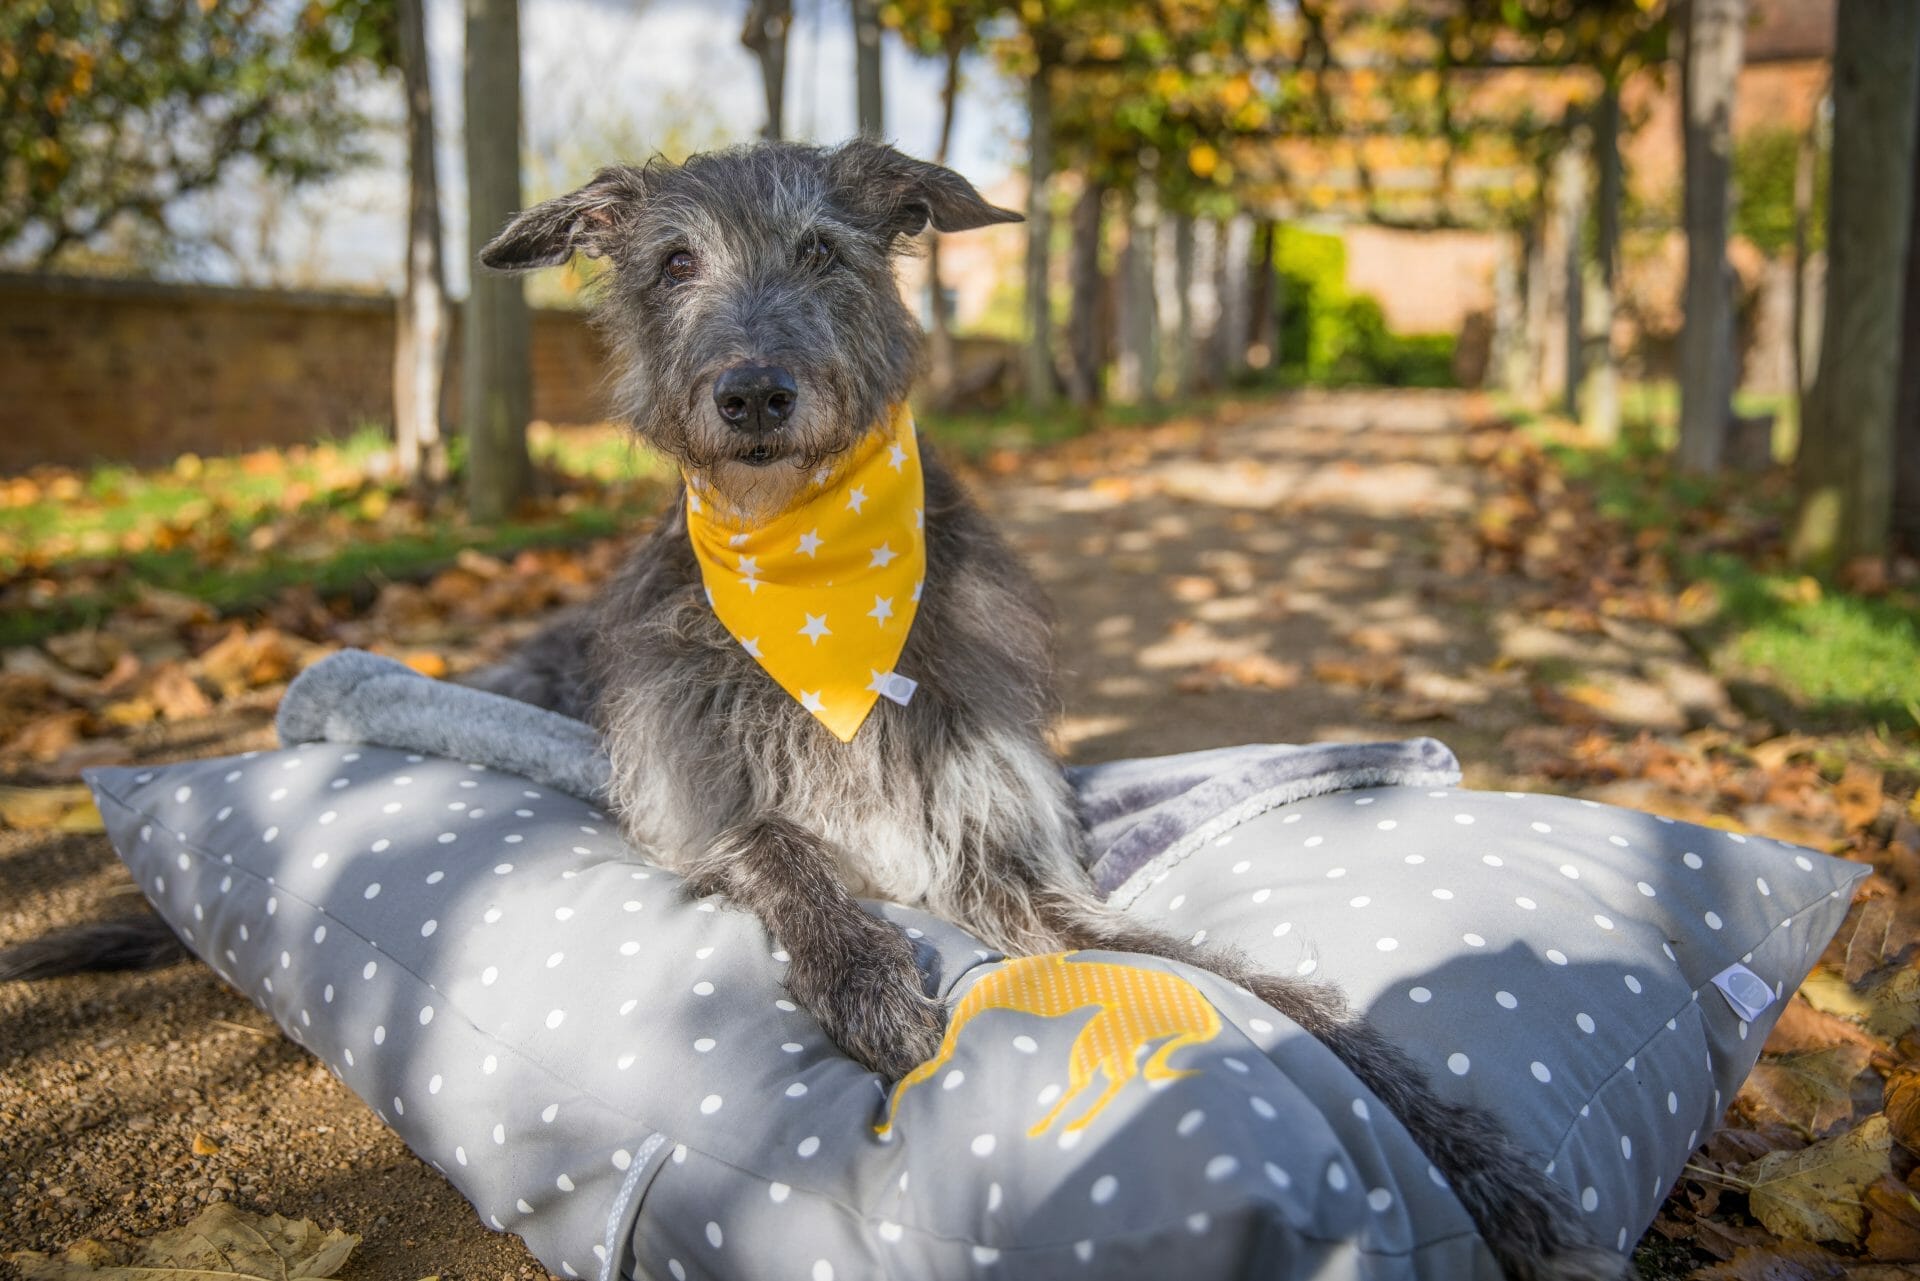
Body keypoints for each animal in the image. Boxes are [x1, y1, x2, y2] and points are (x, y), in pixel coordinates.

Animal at [464, 140, 1620, 1281]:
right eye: (673, 263)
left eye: (822, 250)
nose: (754, 395)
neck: (813, 581)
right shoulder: (692, 803)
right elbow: (776, 848)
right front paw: (870, 981)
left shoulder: (1012, 864)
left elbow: (1247, 984)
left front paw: (1478, 1158)